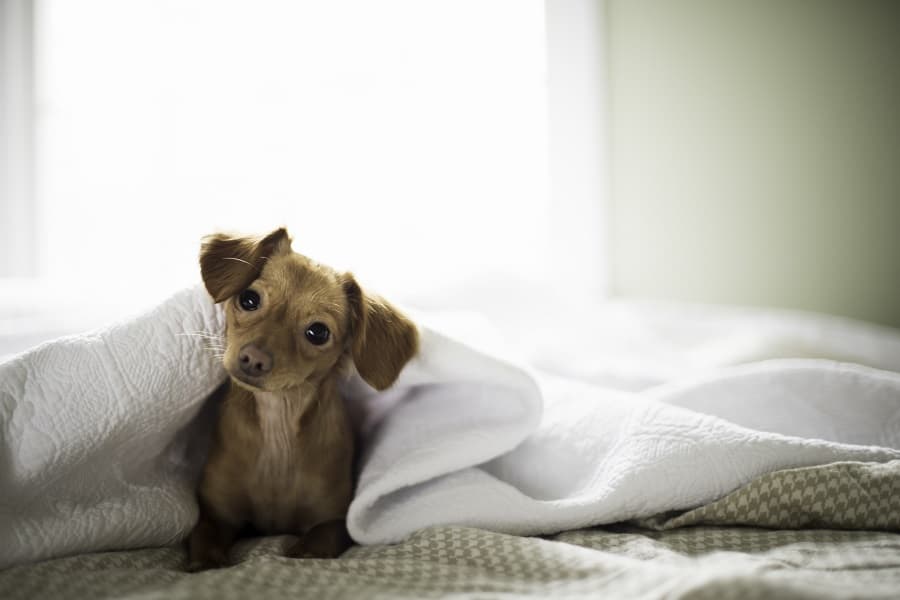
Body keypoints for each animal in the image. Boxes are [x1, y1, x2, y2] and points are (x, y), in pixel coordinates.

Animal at [189, 227, 418, 568]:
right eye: (249, 299)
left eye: (318, 332)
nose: (253, 359)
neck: (278, 425)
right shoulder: (215, 514)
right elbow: (204, 546)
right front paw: (208, 564)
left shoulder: (334, 520)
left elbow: (317, 542)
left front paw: (301, 552)